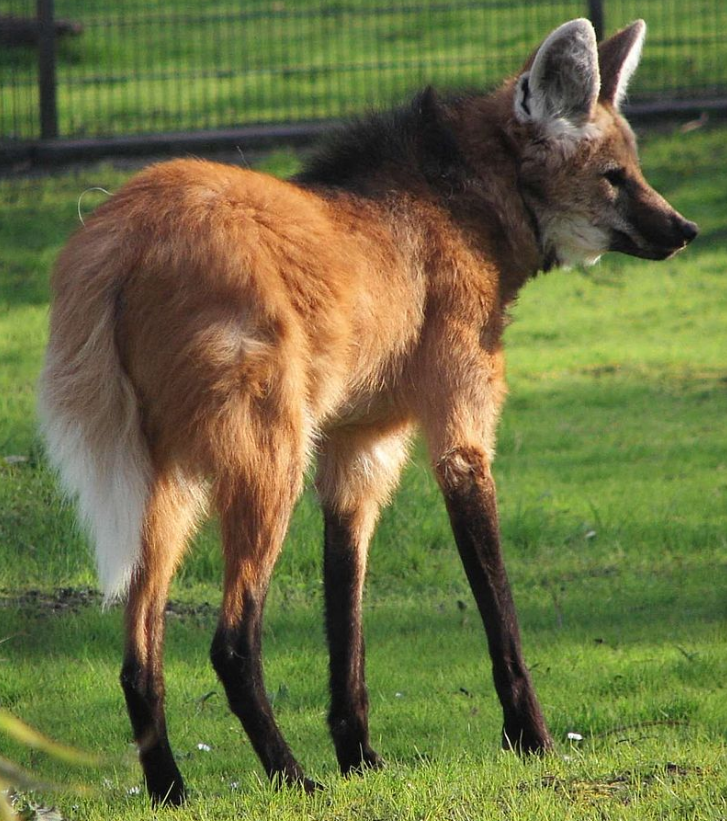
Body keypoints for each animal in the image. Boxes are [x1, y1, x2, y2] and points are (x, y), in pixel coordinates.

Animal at [39, 17, 700, 800]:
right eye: (613, 176)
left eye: (634, 170)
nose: (685, 229)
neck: (464, 208)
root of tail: (116, 236)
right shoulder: (458, 435)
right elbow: (498, 612)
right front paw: (531, 739)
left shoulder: (359, 447)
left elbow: (345, 617)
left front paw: (359, 756)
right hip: (269, 459)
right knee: (231, 641)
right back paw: (292, 779)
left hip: (167, 481)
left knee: (140, 654)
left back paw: (172, 789)